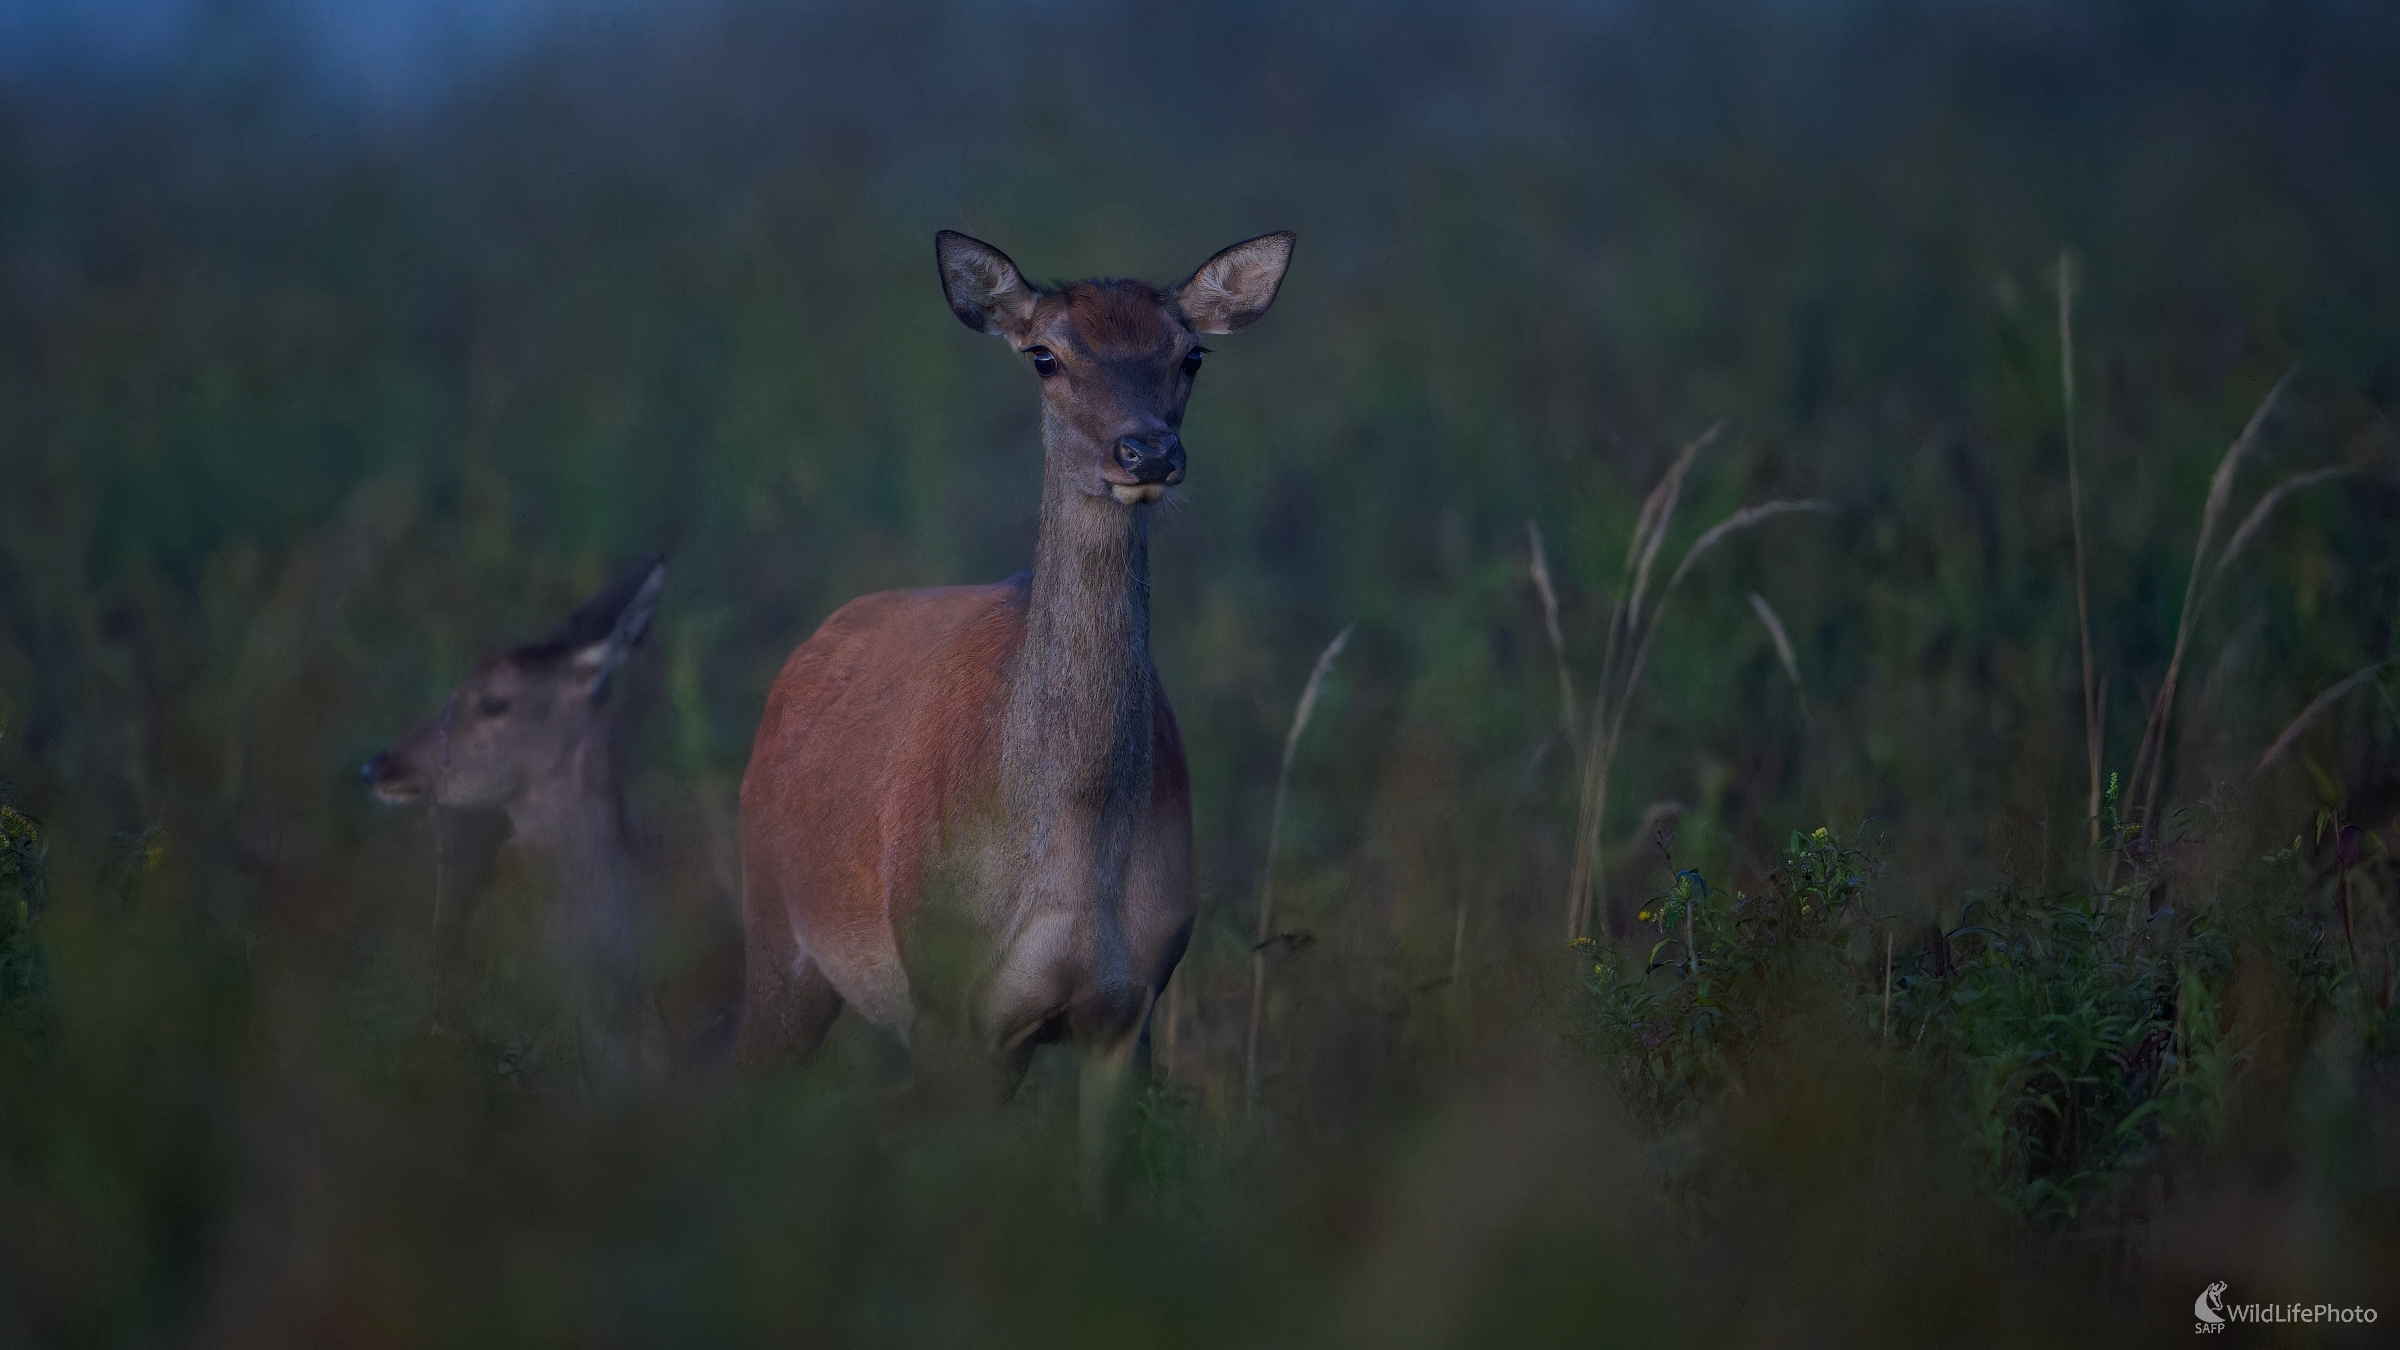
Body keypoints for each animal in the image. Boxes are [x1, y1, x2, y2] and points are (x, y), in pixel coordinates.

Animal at [739, 228, 1296, 1186]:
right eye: (1045, 355)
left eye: (1190, 354)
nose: (1147, 452)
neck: (1073, 844)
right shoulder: (949, 1002)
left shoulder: (1134, 1003)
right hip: (775, 933)